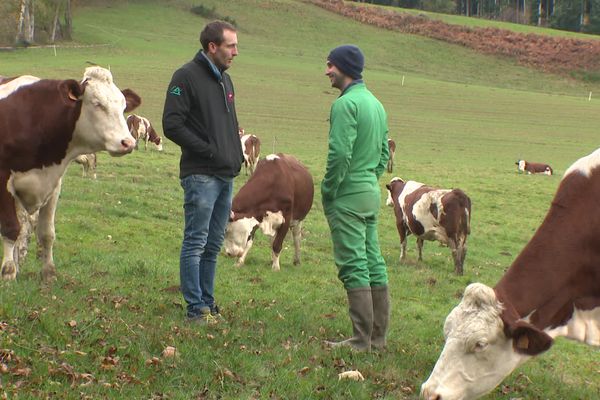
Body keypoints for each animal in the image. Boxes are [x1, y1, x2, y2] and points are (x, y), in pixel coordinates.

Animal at [0, 65, 141, 280]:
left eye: (124, 107)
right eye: (97, 104)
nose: (128, 142)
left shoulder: (53, 182)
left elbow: (46, 233)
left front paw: (49, 273)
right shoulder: (3, 181)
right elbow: (10, 228)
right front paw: (8, 273)